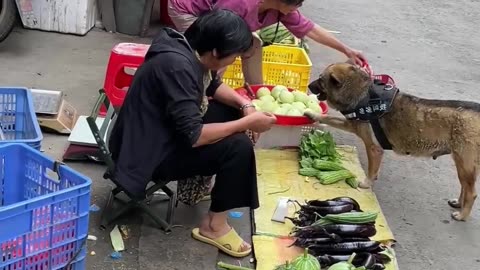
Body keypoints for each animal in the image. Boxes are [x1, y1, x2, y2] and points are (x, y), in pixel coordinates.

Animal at [306, 62, 478, 221]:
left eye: (321, 79)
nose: (308, 85)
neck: (363, 94)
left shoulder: (374, 148)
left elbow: (371, 170)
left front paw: (367, 183)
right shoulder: (352, 124)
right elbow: (329, 118)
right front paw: (313, 115)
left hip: (465, 164)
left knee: (472, 192)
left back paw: (462, 214)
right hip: (461, 163)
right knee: (464, 187)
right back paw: (459, 203)